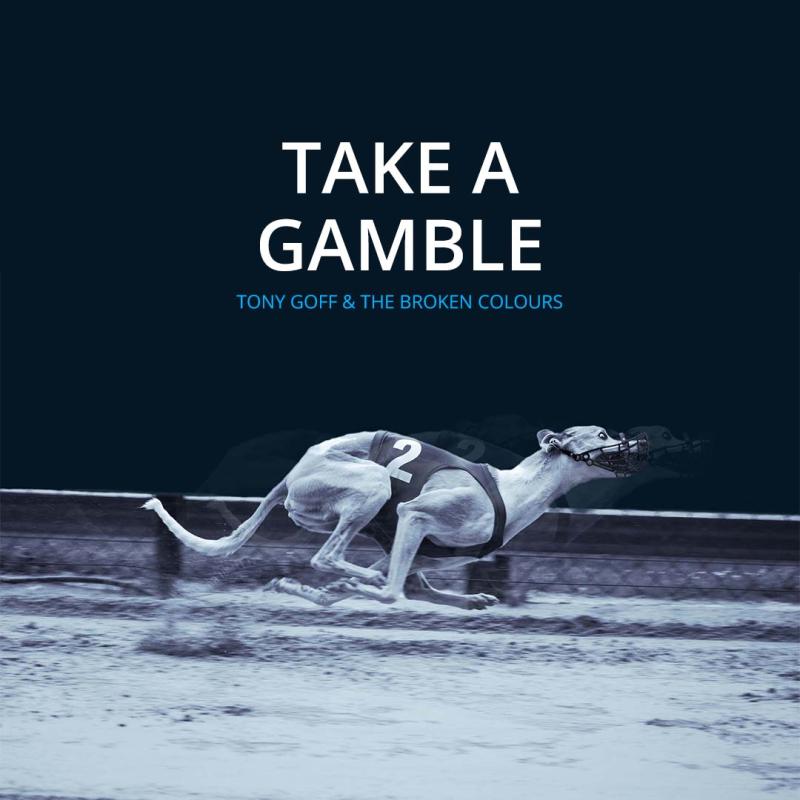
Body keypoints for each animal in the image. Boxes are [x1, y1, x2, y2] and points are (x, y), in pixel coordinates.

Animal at [143, 426, 648, 609]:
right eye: (602, 434)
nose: (640, 445)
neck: (514, 490)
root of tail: (292, 473)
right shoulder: (415, 514)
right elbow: (392, 590)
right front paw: (358, 587)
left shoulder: (411, 548)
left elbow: (411, 584)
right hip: (372, 485)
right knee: (329, 558)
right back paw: (348, 581)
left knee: (346, 571)